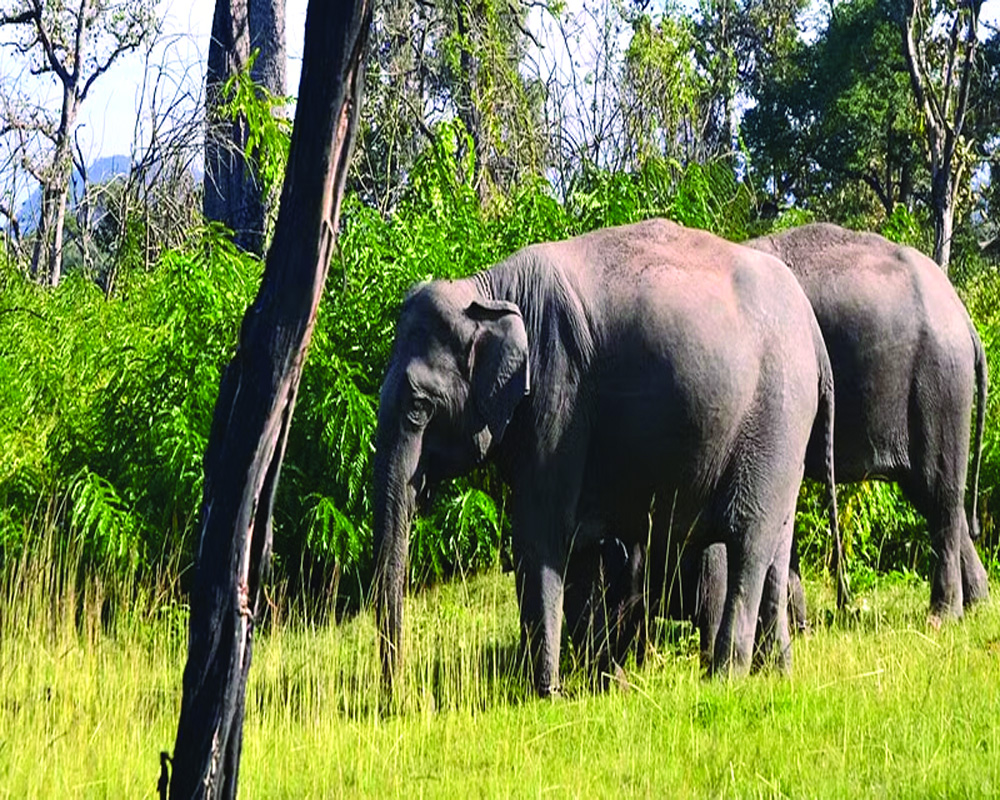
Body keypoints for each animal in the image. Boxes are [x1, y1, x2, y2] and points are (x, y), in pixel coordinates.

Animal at [372, 217, 840, 692]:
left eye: (418, 407)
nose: (396, 696)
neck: (489, 287)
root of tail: (813, 332)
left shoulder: (558, 396)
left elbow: (540, 534)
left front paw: (546, 693)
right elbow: (578, 551)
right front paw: (602, 684)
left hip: (774, 416)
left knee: (747, 538)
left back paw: (725, 677)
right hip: (784, 436)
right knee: (777, 544)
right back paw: (775, 674)